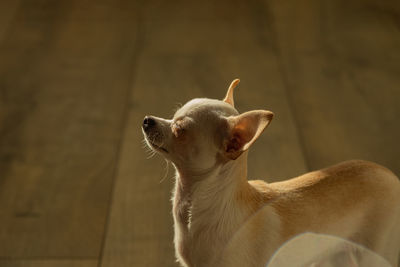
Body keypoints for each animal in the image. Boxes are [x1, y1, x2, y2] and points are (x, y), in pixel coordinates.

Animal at [141, 79, 400, 267]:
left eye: (179, 129)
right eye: (172, 116)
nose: (147, 120)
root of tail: (388, 173)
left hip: (376, 254)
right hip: (337, 256)